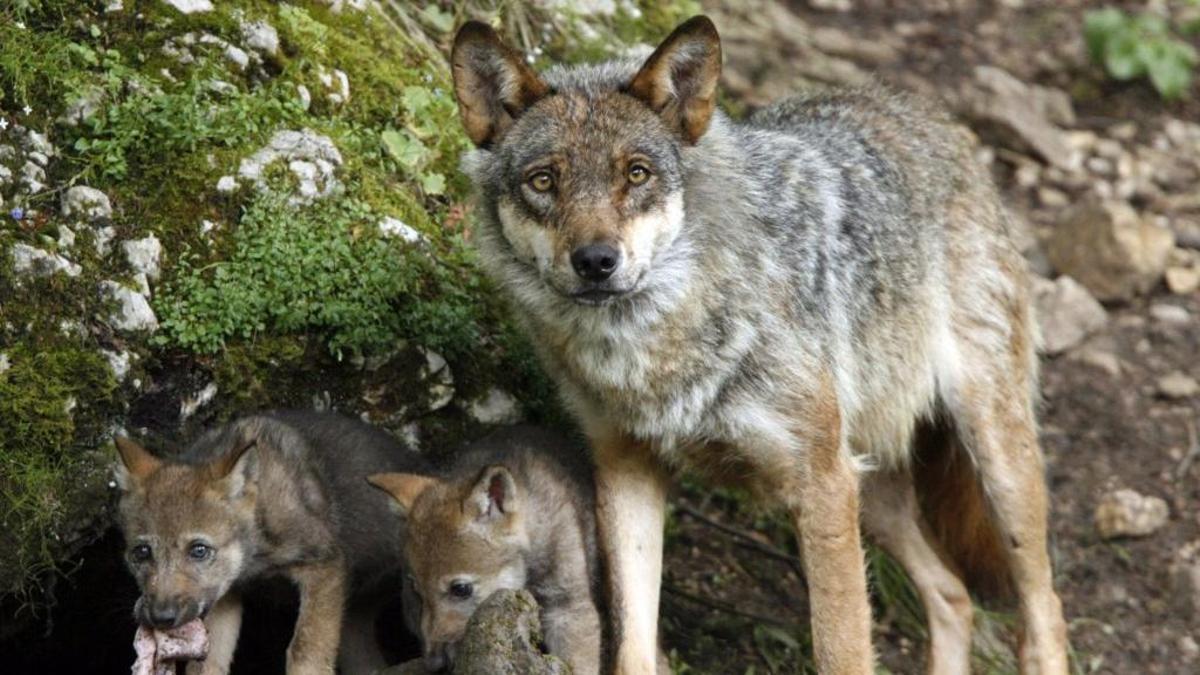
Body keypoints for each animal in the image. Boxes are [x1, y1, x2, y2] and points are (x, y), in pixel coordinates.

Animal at [113, 411, 428, 675]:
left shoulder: (325, 565)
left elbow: (303, 650)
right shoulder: (226, 596)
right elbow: (208, 663)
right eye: (142, 553)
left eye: (199, 550)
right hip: (354, 625)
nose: (160, 617)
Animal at [449, 15, 1070, 675]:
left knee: (1044, 609)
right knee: (953, 593)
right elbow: (633, 643)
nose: (595, 261)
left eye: (637, 173)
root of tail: (925, 112)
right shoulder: (626, 467)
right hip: (872, 489)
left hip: (993, 466)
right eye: (543, 180)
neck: (654, 349)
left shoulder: (822, 486)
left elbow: (842, 650)